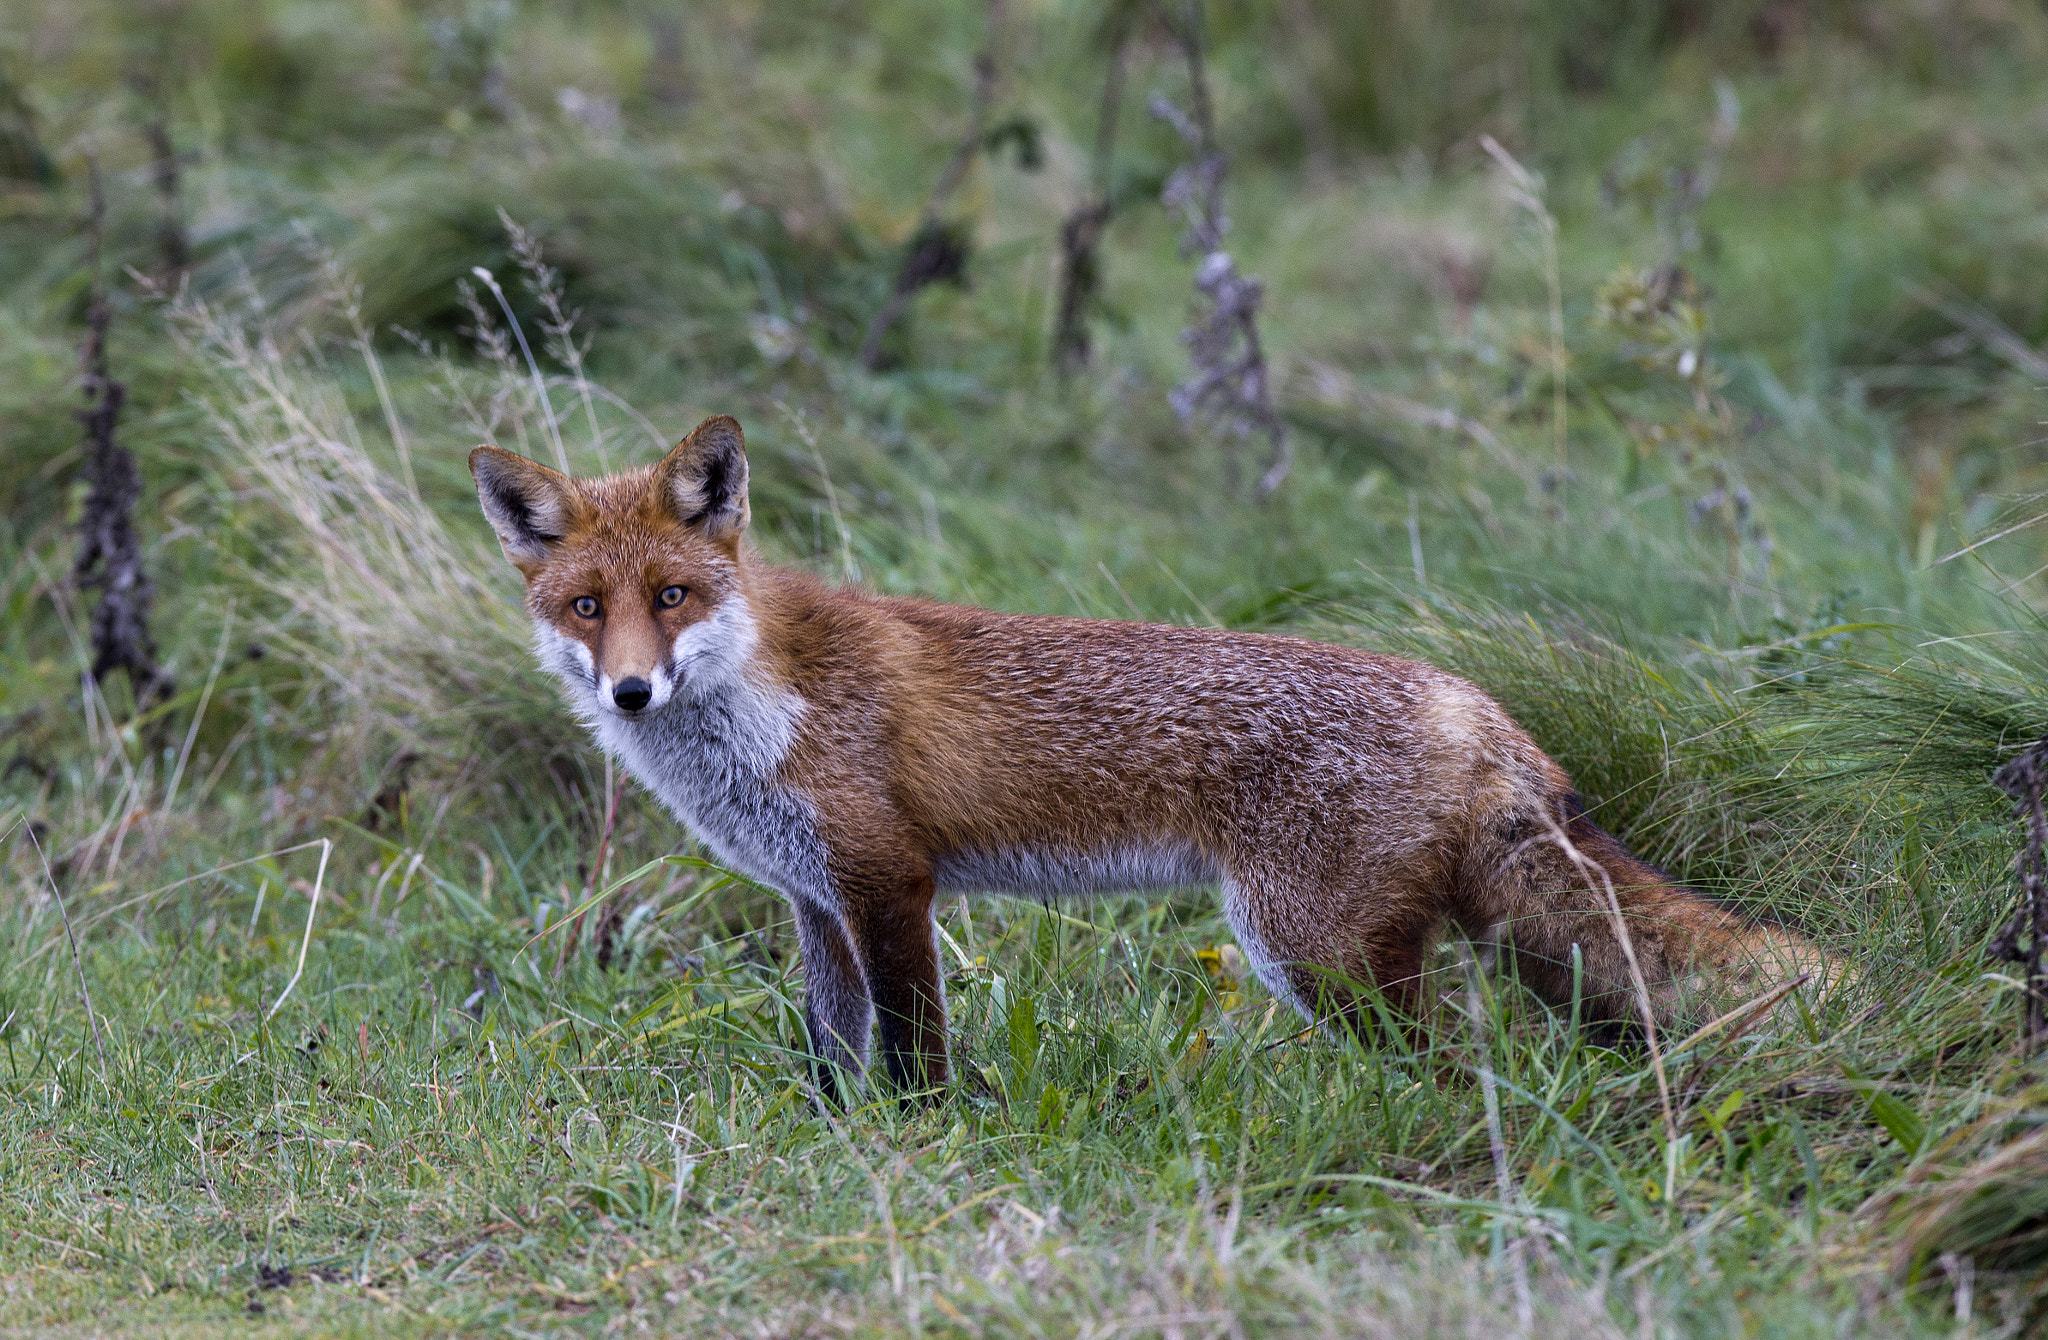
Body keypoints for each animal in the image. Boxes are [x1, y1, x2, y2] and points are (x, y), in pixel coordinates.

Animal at [470, 416, 1826, 1101]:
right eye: (587, 606)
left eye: (674, 594)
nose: (632, 687)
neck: (762, 697)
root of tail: (1472, 702)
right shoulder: (814, 893)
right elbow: (829, 1048)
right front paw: (834, 1139)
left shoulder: (888, 879)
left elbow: (911, 1050)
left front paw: (913, 1148)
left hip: (1307, 948)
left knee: (1462, 1071)